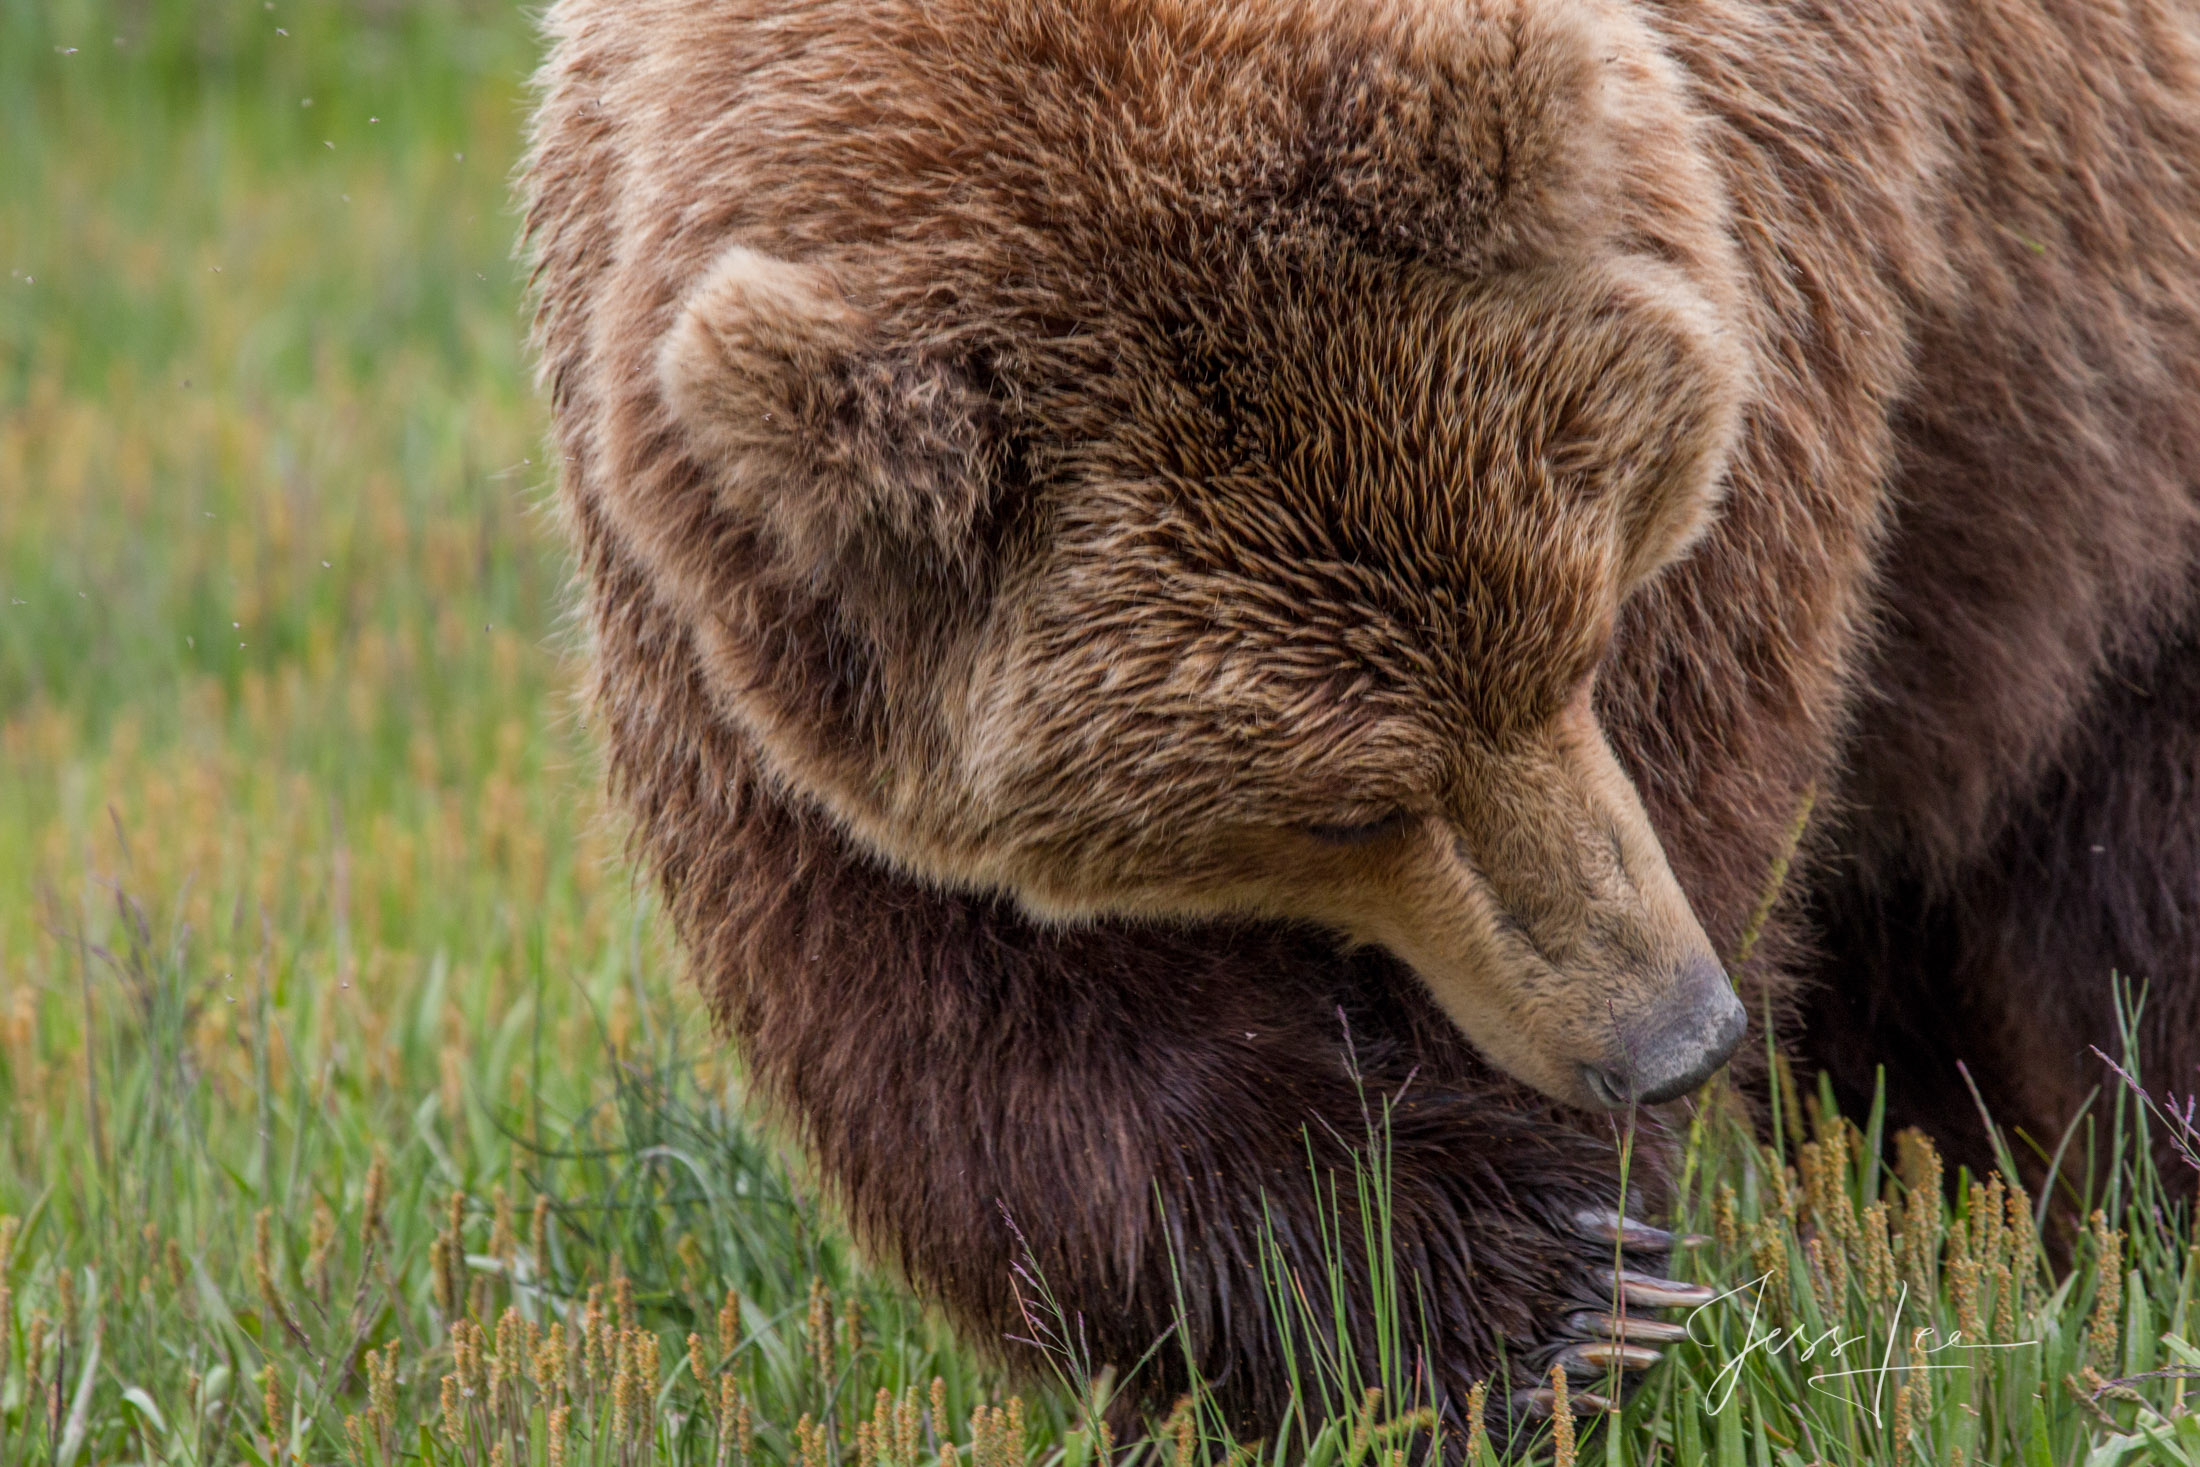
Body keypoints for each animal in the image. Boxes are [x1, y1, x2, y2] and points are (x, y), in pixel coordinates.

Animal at [523, 0, 2200, 1442]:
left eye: (1589, 636)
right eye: (1345, 802)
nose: (1673, 1033)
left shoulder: (1783, 255)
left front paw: (1582, 1287)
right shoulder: (728, 624)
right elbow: (952, 1015)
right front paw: (1500, 1301)